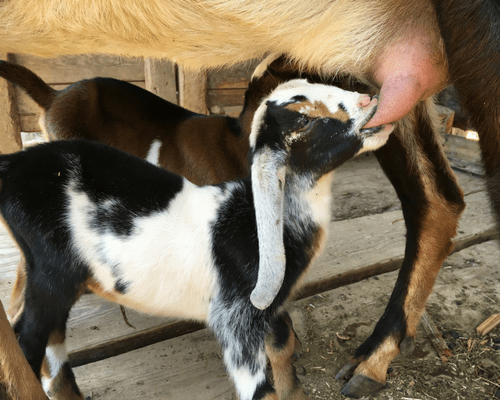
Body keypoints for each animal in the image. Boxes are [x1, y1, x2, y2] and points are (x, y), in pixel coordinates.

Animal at [5, 80, 392, 400]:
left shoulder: (272, 307)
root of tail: (9, 166)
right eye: (302, 121)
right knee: (28, 340)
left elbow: (283, 357)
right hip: (52, 272)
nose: (370, 98)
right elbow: (260, 390)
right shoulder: (235, 317)